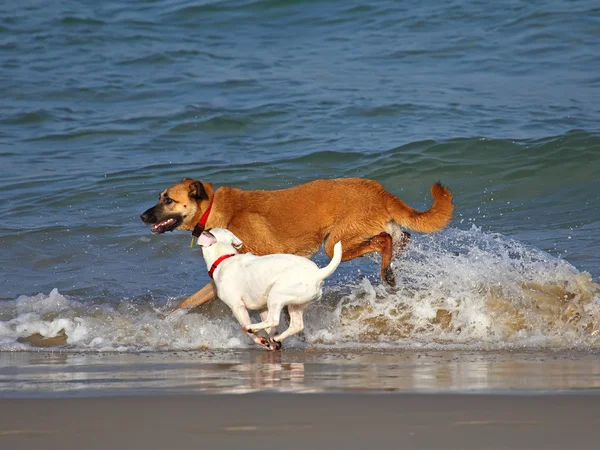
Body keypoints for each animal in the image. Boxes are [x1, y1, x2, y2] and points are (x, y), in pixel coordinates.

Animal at [139, 178, 450, 312]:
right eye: (159, 196)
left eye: (168, 200)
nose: (142, 216)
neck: (213, 207)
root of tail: (379, 191)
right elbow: (188, 301)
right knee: (399, 239)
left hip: (334, 244)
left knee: (383, 241)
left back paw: (387, 273)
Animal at [198, 227, 342, 350]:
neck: (224, 258)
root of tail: (318, 273)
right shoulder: (262, 308)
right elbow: (270, 329)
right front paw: (273, 343)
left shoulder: (237, 307)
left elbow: (248, 329)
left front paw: (259, 339)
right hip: (295, 304)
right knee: (296, 325)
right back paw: (277, 338)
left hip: (276, 295)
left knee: (272, 320)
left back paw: (252, 327)